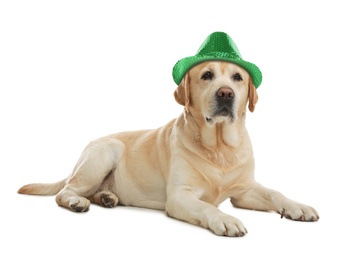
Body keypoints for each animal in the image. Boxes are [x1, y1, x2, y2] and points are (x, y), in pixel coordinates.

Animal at [18, 61, 320, 238]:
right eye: (207, 75)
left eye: (237, 77)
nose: (225, 94)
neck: (219, 147)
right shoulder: (179, 197)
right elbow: (206, 207)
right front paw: (225, 220)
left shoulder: (244, 191)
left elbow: (274, 193)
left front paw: (299, 207)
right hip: (105, 152)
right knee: (65, 192)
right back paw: (77, 202)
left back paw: (107, 197)